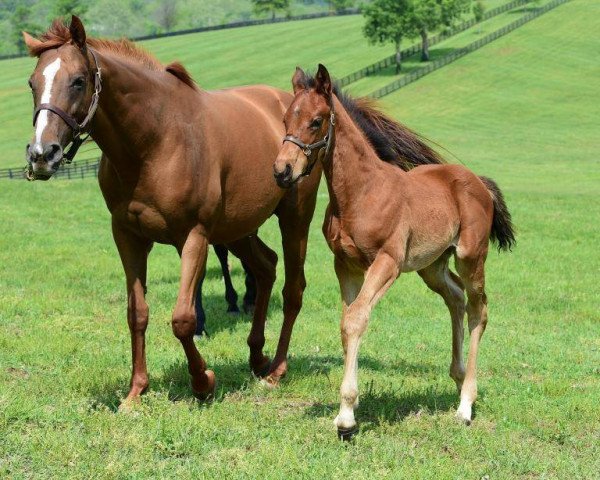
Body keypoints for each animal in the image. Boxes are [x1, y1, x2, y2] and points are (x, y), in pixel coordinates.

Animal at [274, 65, 512, 440]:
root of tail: (478, 181)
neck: (361, 193)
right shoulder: (345, 265)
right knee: (455, 298)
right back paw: (457, 379)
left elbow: (357, 319)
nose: (282, 171)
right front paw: (351, 407)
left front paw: (346, 417)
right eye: (286, 118)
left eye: (316, 121)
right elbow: (347, 323)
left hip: (471, 256)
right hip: (432, 265)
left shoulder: (387, 263)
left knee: (478, 309)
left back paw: (465, 405)